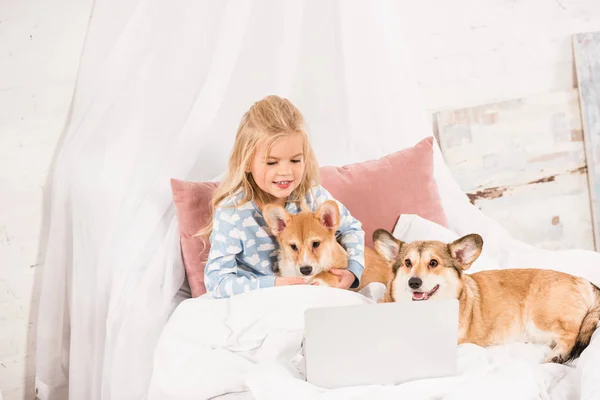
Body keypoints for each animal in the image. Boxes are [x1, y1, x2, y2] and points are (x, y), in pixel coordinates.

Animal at [372, 228, 596, 362]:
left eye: (433, 263)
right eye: (407, 263)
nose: (414, 282)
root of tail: (585, 282)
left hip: (540, 318)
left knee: (571, 335)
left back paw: (555, 356)